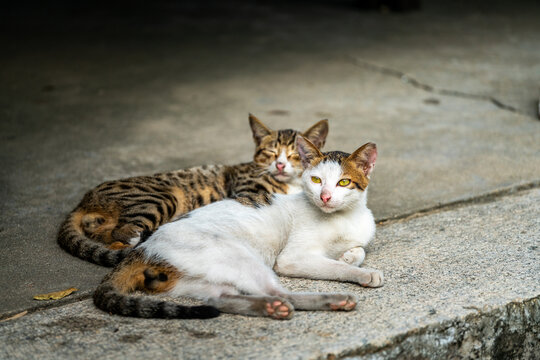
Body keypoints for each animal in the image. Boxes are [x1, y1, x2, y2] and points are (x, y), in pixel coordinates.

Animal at [59, 115, 330, 268]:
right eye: (271, 153)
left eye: (294, 155)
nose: (280, 165)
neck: (290, 183)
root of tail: (86, 198)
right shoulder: (246, 190)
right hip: (159, 196)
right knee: (122, 232)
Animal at [94, 136, 380, 320]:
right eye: (317, 180)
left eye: (344, 182)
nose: (325, 197)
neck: (344, 217)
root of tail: (142, 248)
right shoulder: (292, 258)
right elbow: (334, 267)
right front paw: (362, 272)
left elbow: (358, 251)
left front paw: (348, 256)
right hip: (239, 256)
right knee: (280, 291)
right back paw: (330, 300)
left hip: (195, 280)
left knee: (219, 298)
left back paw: (269, 308)